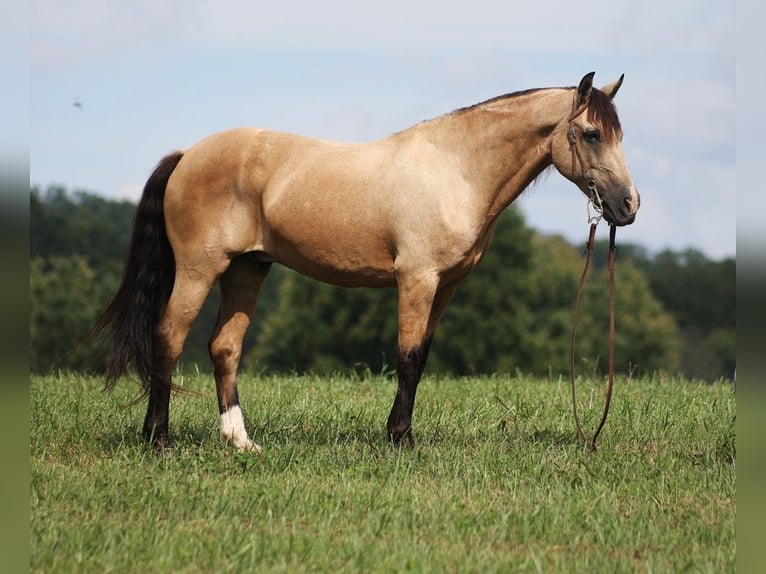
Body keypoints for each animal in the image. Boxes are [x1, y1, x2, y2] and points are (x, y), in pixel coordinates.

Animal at [93, 72, 640, 452]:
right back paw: (158, 438)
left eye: (619, 134)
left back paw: (240, 442)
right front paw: (399, 440)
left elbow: (421, 359)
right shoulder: (417, 279)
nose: (628, 205)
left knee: (224, 347)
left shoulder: (446, 287)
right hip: (199, 270)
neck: (455, 169)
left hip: (248, 270)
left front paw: (400, 434)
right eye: (591, 133)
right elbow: (407, 357)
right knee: (169, 338)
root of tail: (186, 155)